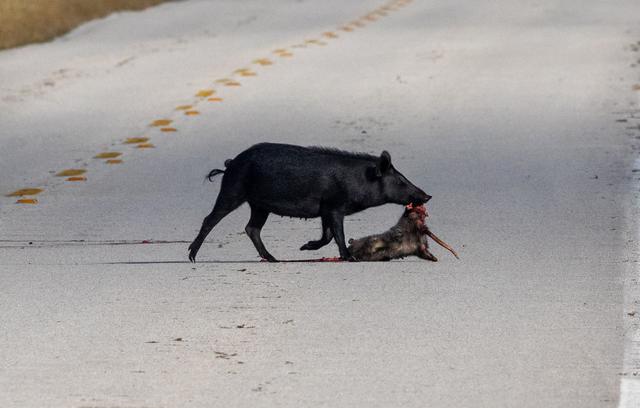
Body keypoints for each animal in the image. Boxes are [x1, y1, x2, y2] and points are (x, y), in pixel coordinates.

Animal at [188, 143, 431, 262]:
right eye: (399, 180)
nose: (427, 195)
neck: (359, 181)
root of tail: (230, 163)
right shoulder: (334, 206)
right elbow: (337, 234)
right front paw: (349, 257)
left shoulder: (326, 210)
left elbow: (327, 235)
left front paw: (304, 247)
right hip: (233, 191)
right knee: (210, 219)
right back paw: (192, 257)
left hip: (259, 205)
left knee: (251, 228)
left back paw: (274, 259)